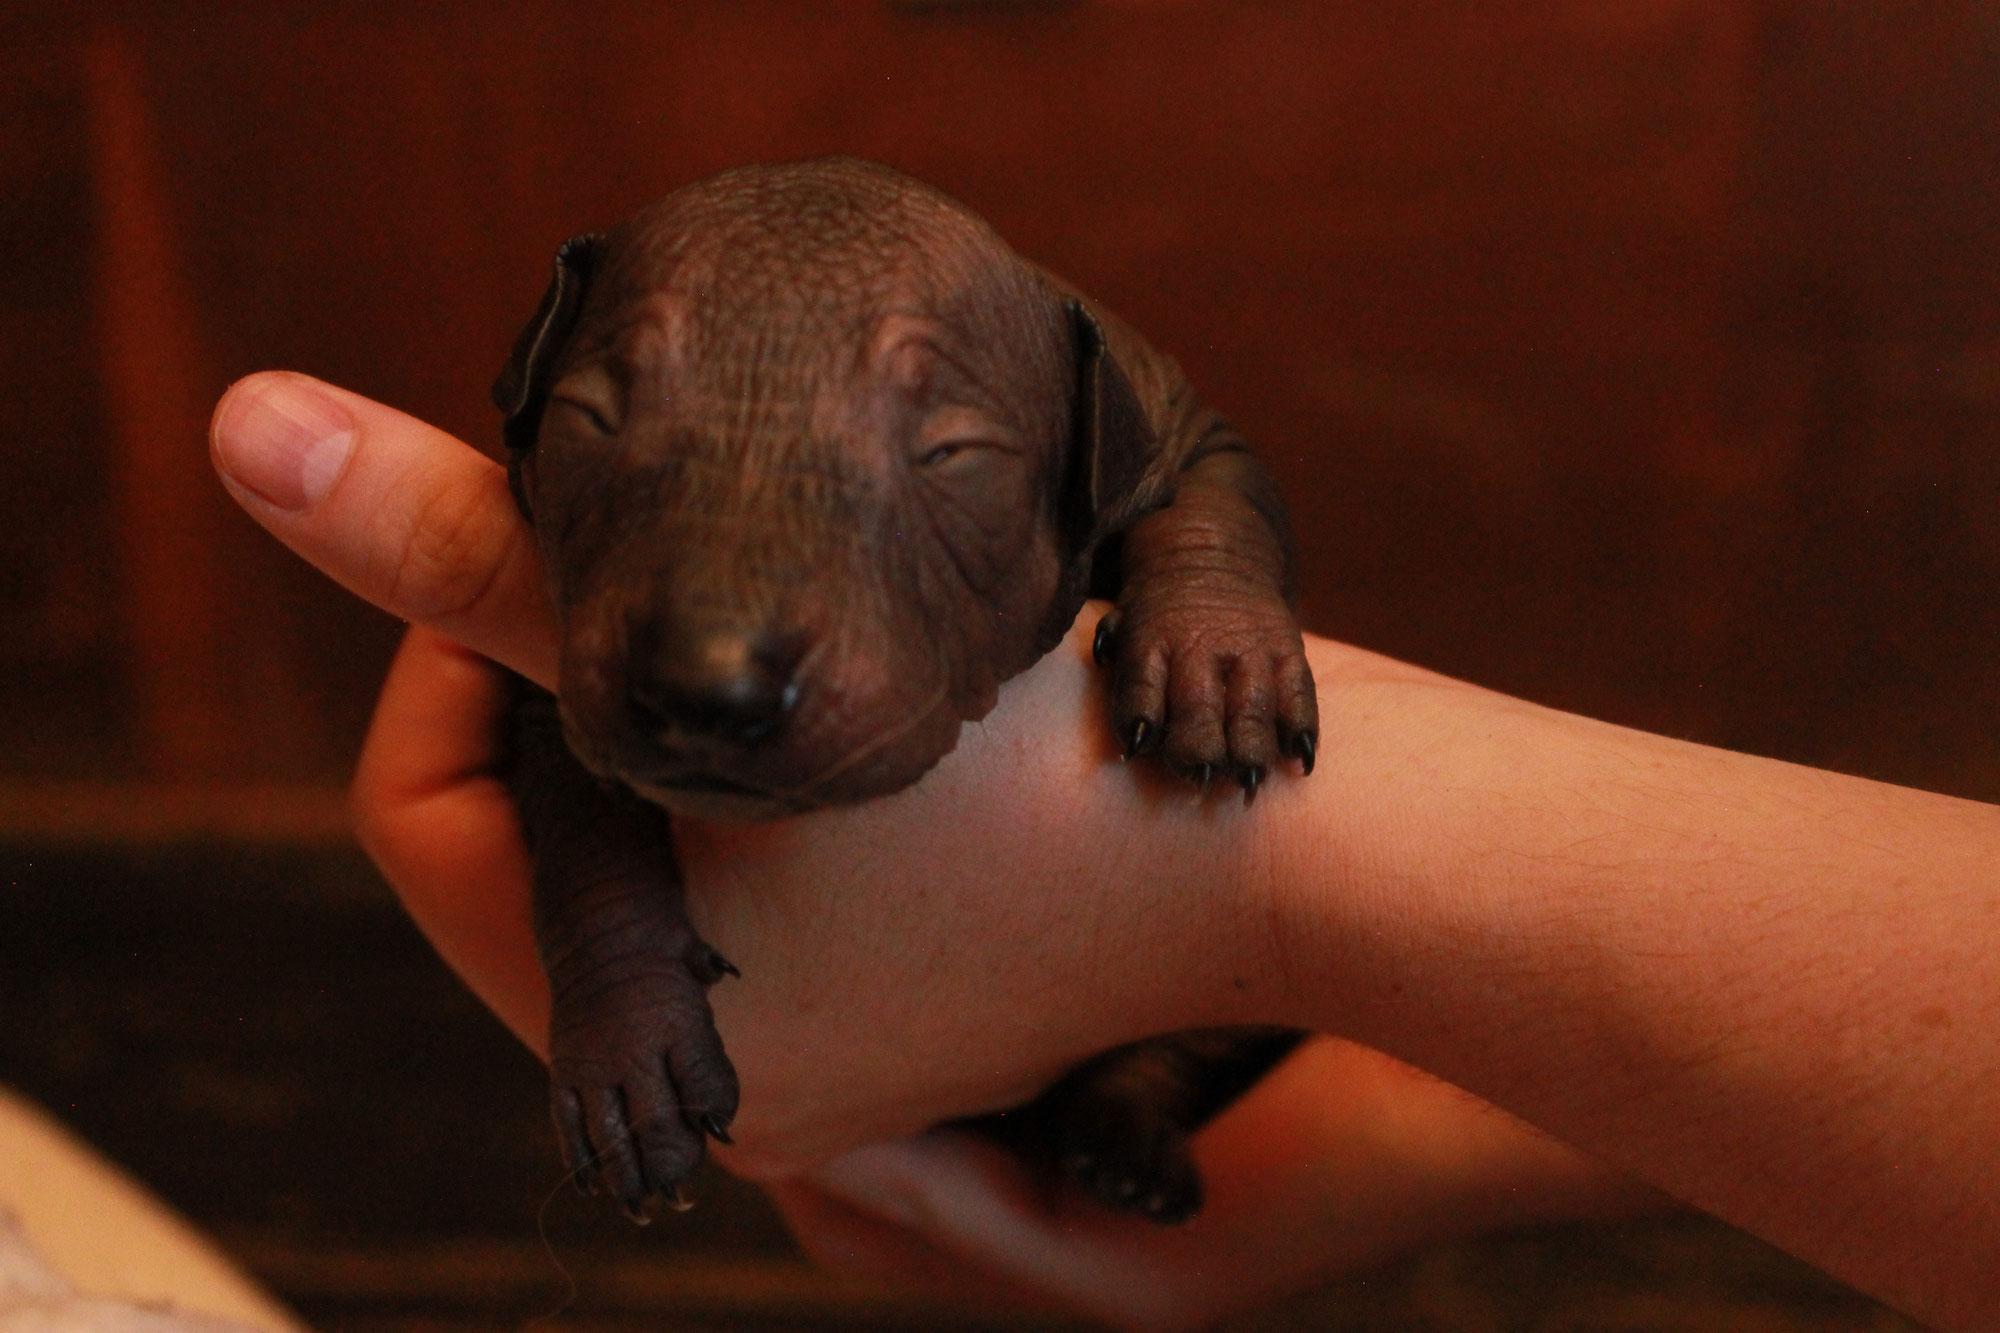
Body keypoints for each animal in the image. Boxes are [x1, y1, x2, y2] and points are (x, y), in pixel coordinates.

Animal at [494, 153, 1320, 1216]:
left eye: (952, 456)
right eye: (588, 419)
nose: (706, 680)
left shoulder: (1175, 414)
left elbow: (1218, 495)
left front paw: (1217, 654)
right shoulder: (540, 679)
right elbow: (581, 836)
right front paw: (631, 1046)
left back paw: (1124, 1136)